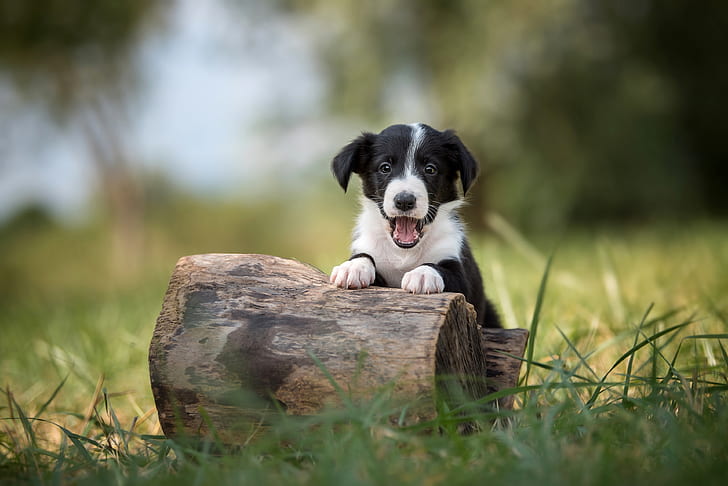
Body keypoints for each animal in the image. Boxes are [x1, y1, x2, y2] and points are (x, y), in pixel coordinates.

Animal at [330, 121, 500, 328]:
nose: (404, 201)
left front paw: (423, 274)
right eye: (385, 167)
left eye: (430, 169)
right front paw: (353, 267)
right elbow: (365, 256)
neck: (404, 253)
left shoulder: (463, 281)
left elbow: (442, 269)